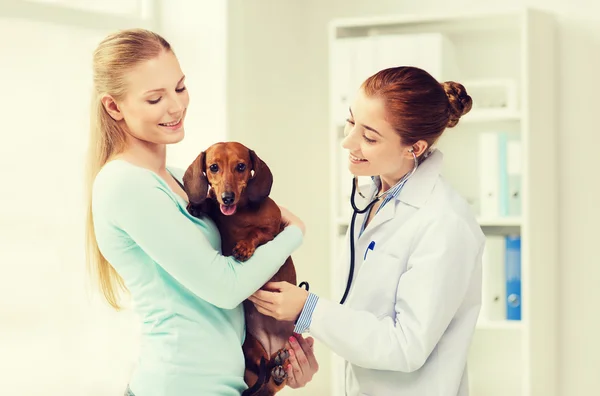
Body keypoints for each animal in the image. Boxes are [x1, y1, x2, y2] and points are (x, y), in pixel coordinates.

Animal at [182, 142, 296, 396]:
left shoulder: (272, 231)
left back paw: (279, 365)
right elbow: (210, 203)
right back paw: (275, 366)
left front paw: (244, 247)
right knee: (264, 366)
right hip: (251, 346)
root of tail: (273, 345)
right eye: (213, 167)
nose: (227, 198)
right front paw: (198, 204)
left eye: (241, 166)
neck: (240, 213)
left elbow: (256, 233)